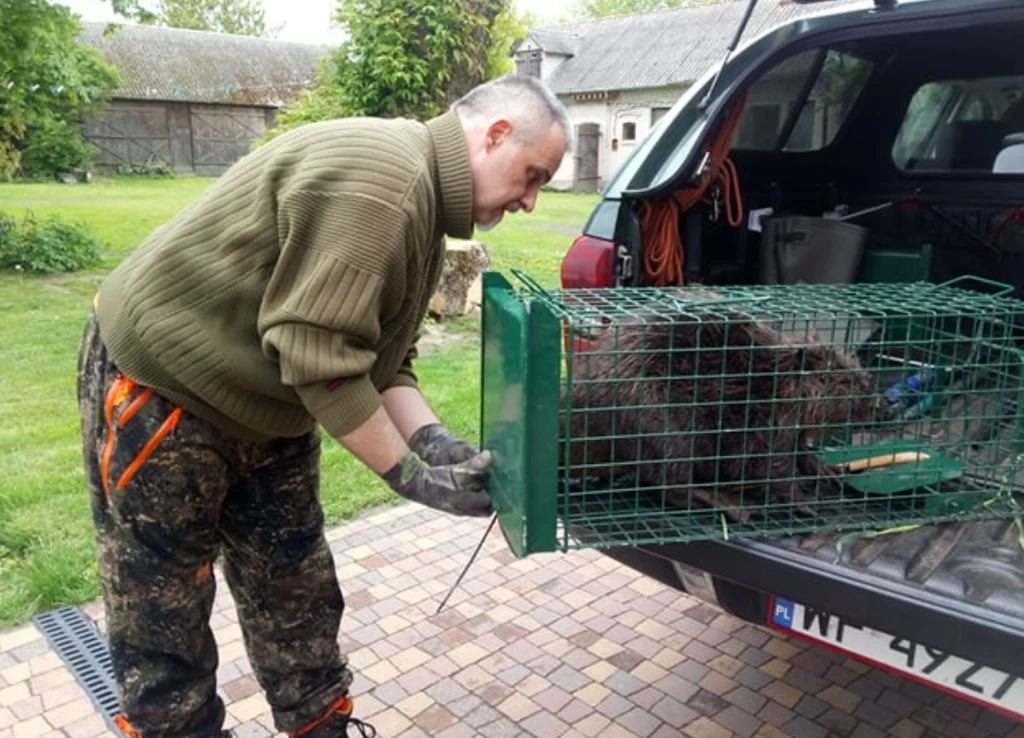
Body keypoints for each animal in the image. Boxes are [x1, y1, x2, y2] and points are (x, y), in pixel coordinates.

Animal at [561, 296, 880, 522]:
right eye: (845, 380)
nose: (879, 404)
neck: (776, 379)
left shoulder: (791, 426)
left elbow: (801, 452)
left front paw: (829, 471)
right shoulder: (764, 420)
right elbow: (767, 466)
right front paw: (805, 502)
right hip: (662, 423)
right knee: (671, 487)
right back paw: (736, 506)